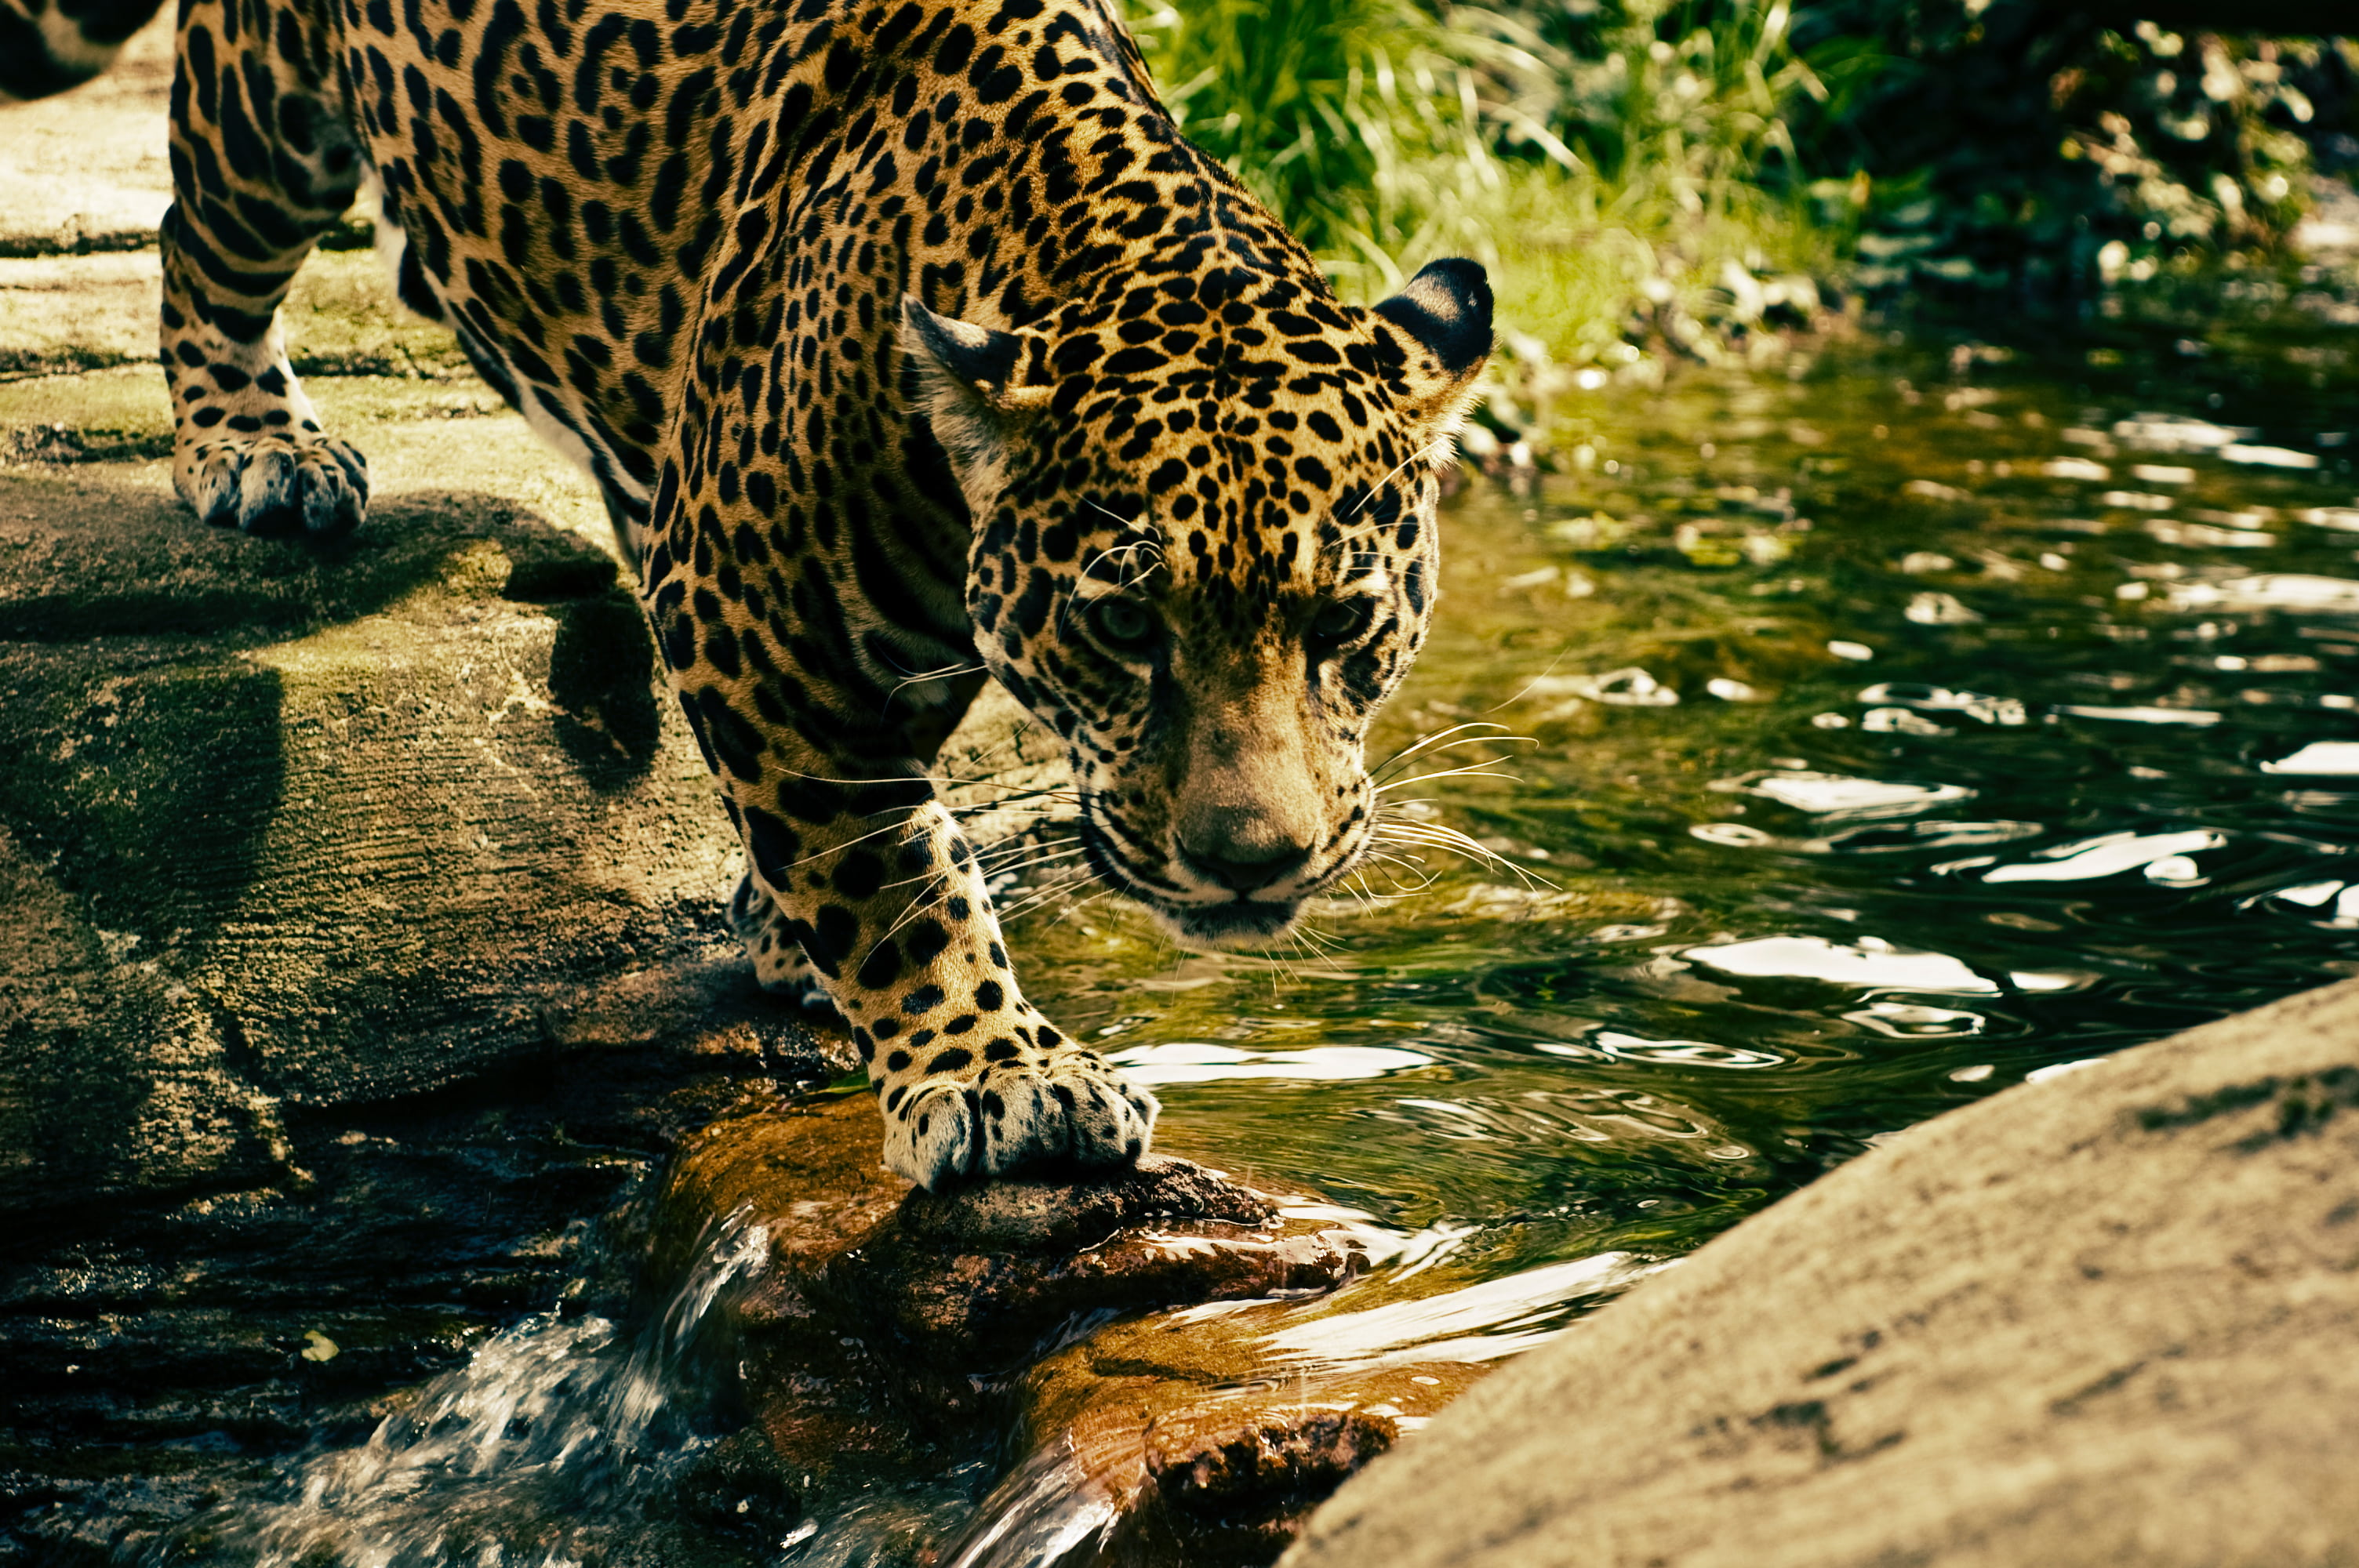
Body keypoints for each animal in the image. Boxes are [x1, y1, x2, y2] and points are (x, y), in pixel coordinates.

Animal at [7, 0, 1493, 1188]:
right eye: (1124, 625)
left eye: (1343, 625)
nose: (1252, 863)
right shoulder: (753, 601)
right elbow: (894, 862)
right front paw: (999, 1077)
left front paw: (791, 933)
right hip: (270, 106)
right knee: (201, 235)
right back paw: (254, 444)